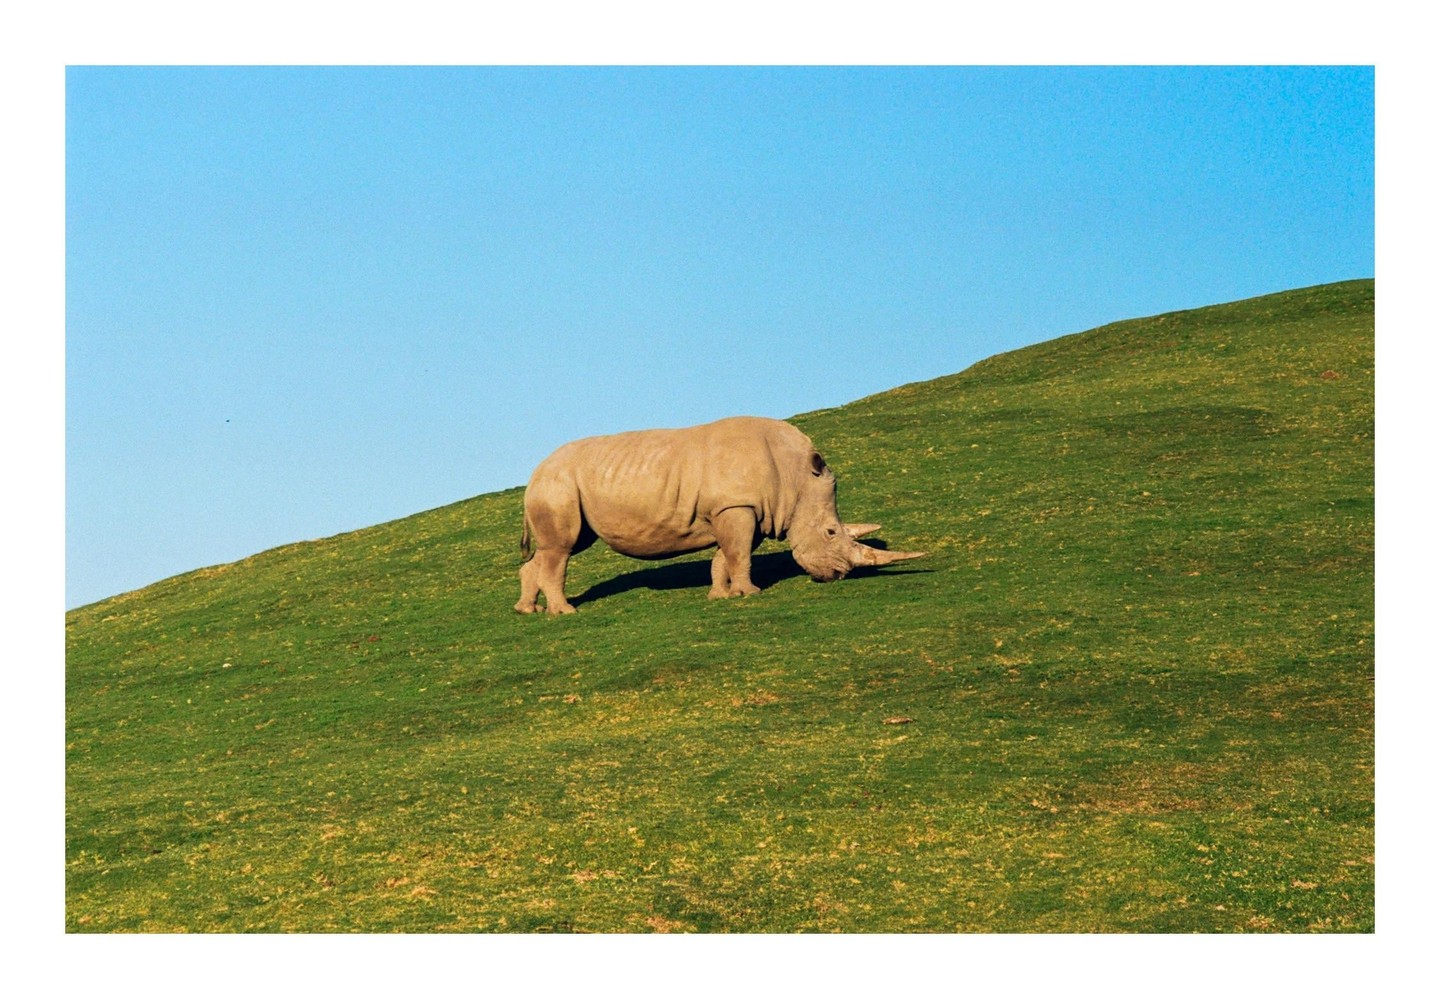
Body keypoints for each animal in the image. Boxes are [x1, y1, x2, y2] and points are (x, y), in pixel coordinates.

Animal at [515, 416, 925, 614]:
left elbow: (726, 556)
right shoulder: (737, 506)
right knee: (562, 548)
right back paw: (565, 612)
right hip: (558, 485)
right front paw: (750, 593)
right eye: (830, 533)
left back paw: (527, 611)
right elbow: (740, 555)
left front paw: (721, 596)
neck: (795, 479)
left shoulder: (745, 510)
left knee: (562, 547)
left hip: (562, 484)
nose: (837, 575)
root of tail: (534, 473)